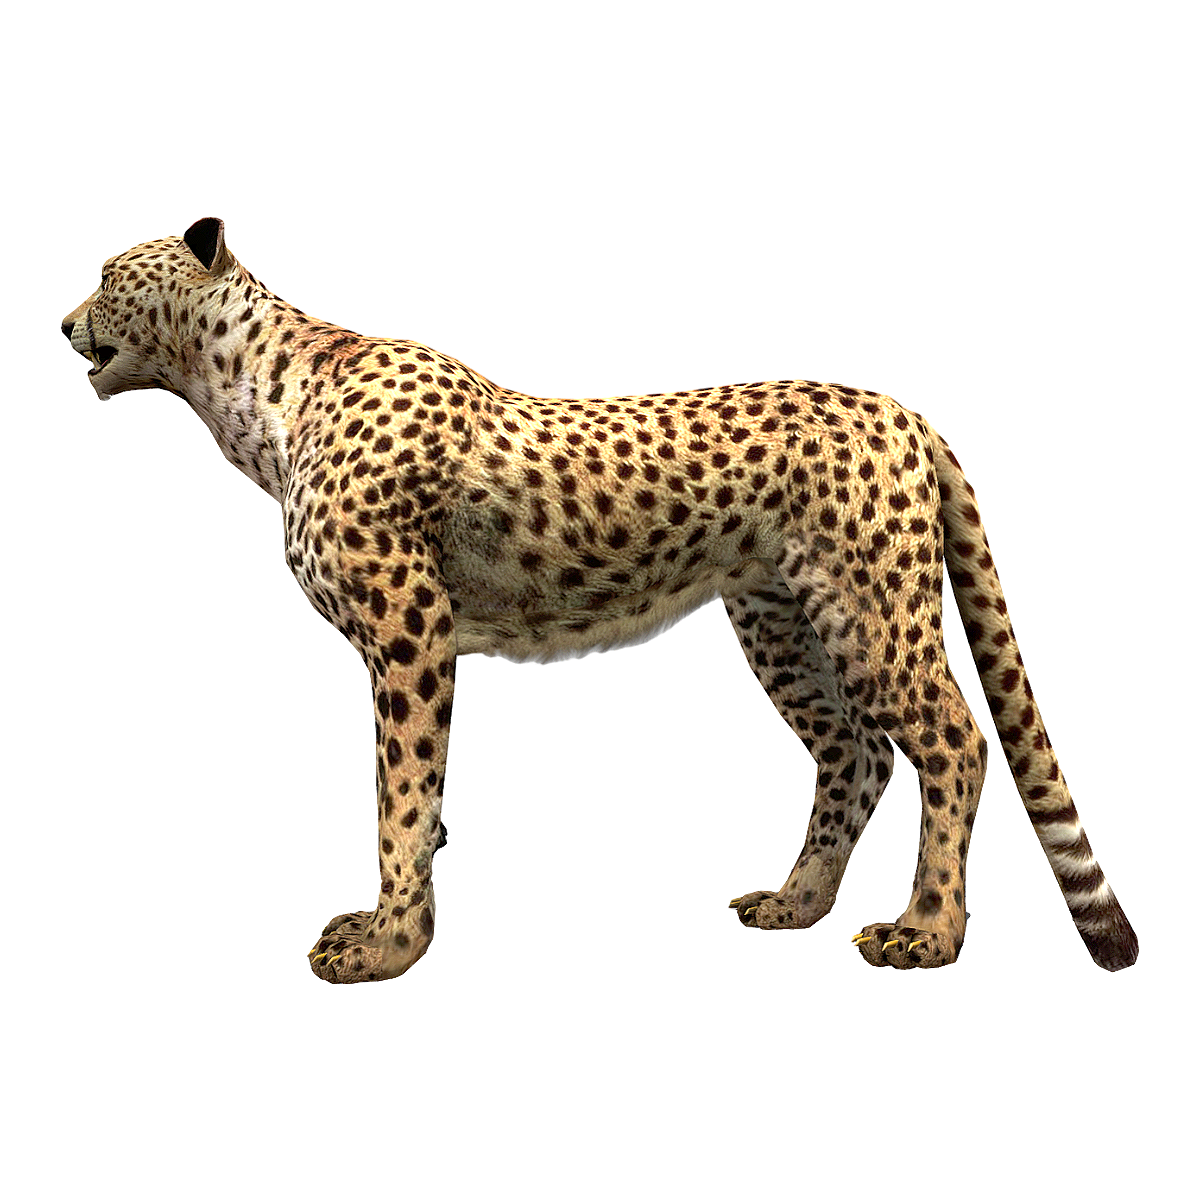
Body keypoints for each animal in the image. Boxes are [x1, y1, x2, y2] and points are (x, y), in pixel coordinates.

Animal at [63, 219, 1138, 981]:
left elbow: (404, 800)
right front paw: (388, 930)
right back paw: (796, 904)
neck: (258, 391)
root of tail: (899, 407)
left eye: (109, 276)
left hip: (872, 611)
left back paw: (929, 927)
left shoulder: (410, 629)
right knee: (853, 751)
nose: (67, 325)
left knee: (951, 733)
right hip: (786, 621)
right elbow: (405, 798)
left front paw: (389, 945)